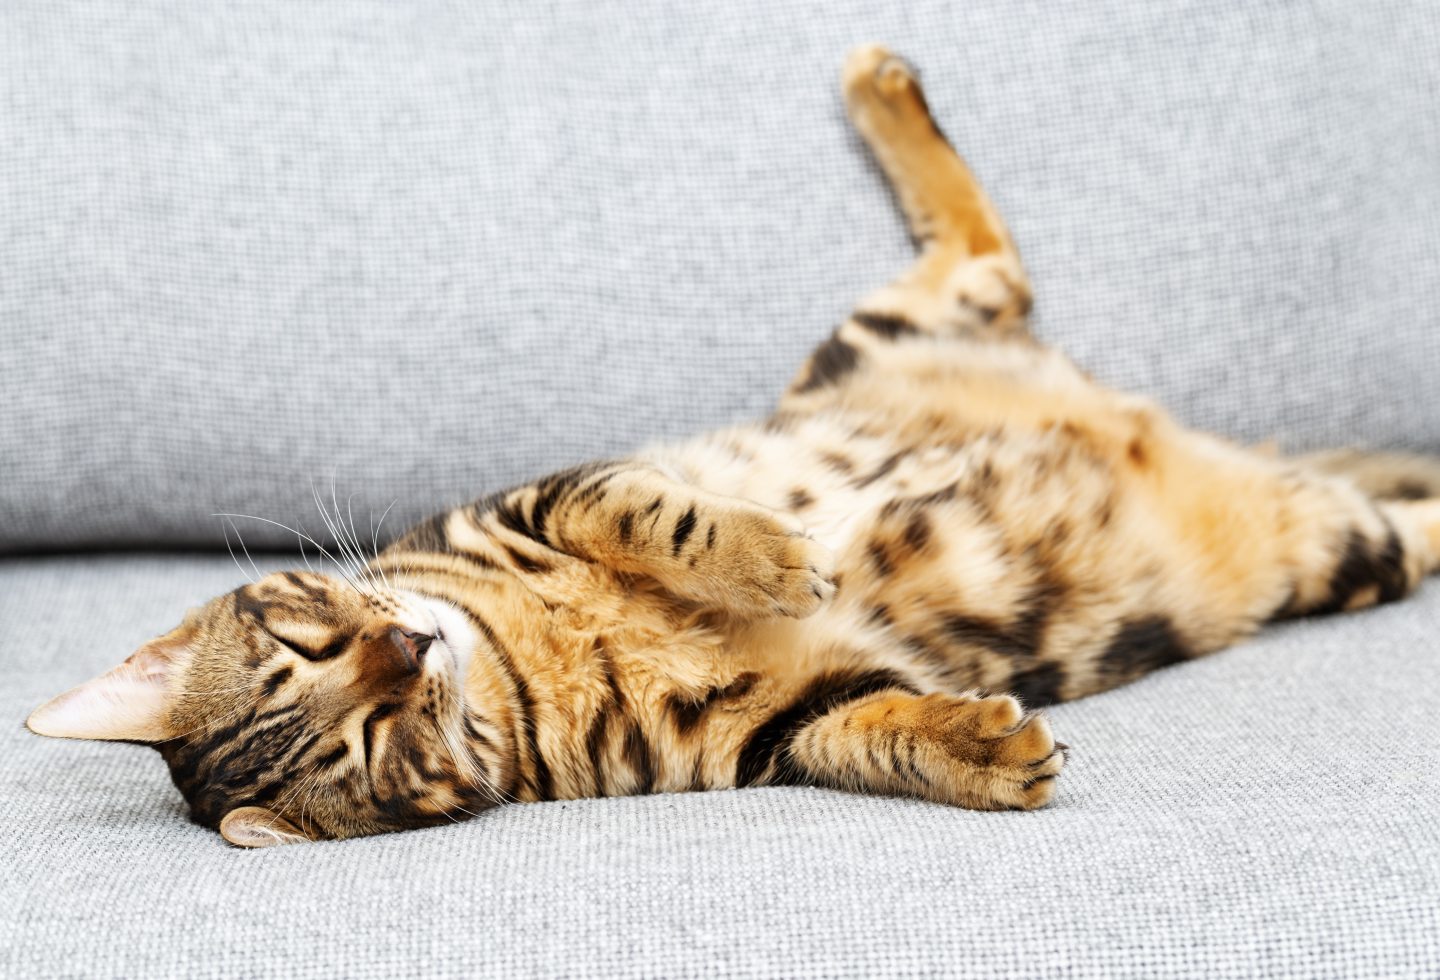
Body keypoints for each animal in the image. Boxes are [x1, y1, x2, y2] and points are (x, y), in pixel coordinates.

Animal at [25, 45, 1440, 846]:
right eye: (371, 742)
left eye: (306, 643)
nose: (403, 648)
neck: (516, 668)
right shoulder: (764, 730)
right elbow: (873, 734)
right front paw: (988, 750)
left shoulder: (532, 496)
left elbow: (657, 514)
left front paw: (773, 558)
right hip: (1342, 548)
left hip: (887, 329)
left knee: (981, 247)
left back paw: (880, 83)